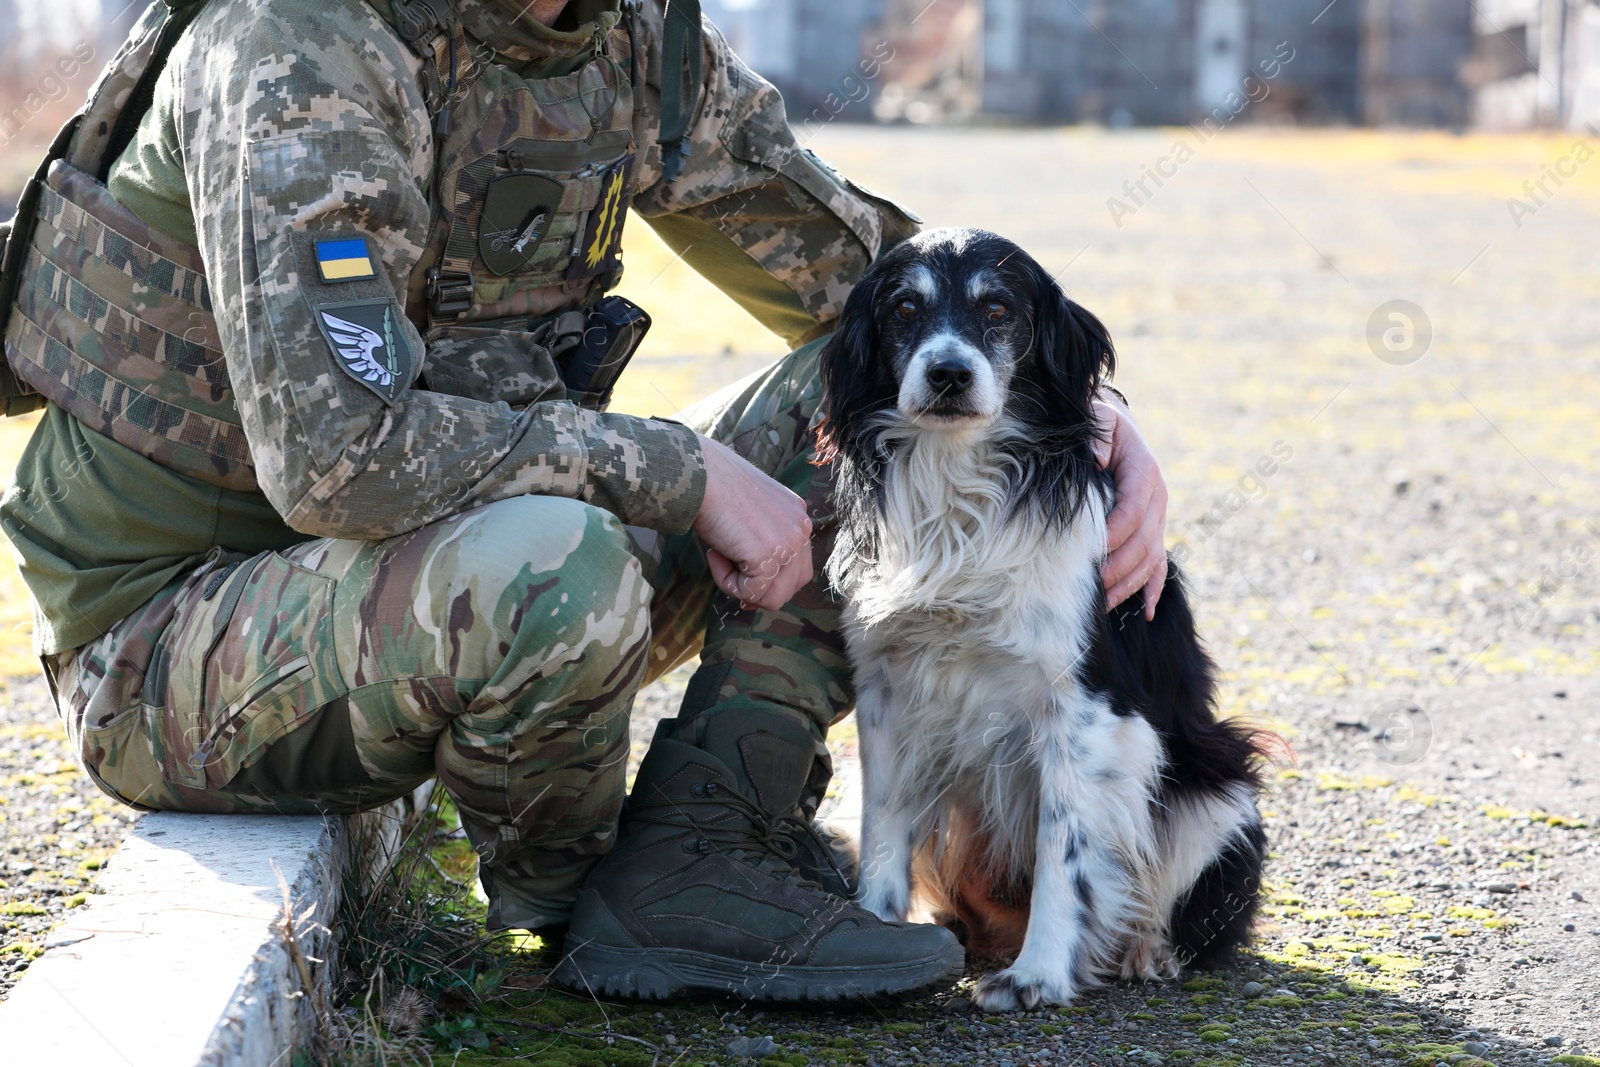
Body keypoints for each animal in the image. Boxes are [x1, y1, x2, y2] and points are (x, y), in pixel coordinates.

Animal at [819, 230, 1267, 1017]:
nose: (948, 373)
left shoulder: (1085, 710)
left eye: (998, 308)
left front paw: (1040, 975)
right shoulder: (885, 690)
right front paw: (873, 931)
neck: (958, 494)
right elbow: (884, 827)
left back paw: (1146, 952)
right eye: (904, 307)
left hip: (1221, 798)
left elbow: (1067, 854)